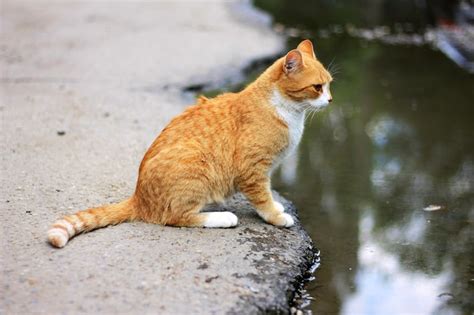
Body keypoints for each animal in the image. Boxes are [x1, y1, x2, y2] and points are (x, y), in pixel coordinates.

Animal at [46, 39, 332, 248]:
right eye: (317, 87)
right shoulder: (254, 169)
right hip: (196, 165)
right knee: (176, 217)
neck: (287, 111)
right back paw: (222, 217)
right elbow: (262, 198)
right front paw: (276, 215)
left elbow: (267, 193)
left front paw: (276, 205)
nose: (330, 100)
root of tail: (138, 198)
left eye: (329, 85)